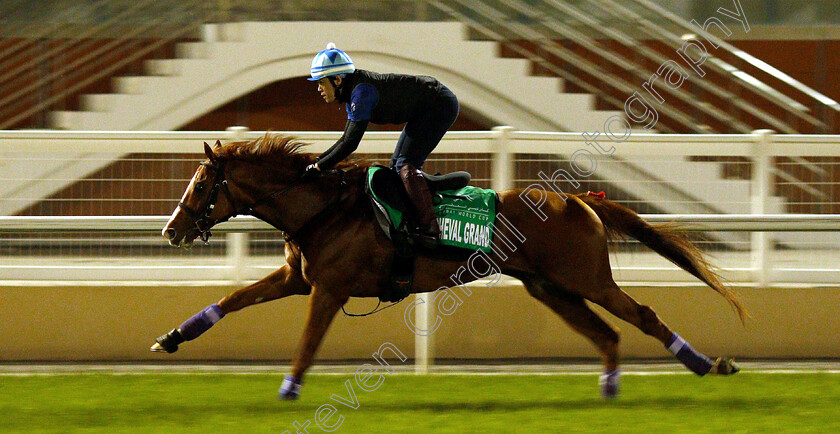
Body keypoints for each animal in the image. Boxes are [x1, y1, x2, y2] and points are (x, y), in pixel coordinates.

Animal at [154, 134, 744, 398]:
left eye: (201, 186)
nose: (171, 230)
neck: (322, 207)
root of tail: (578, 200)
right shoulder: (297, 279)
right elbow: (230, 300)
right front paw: (171, 338)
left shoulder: (329, 289)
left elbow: (308, 340)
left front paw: (289, 388)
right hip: (550, 288)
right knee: (605, 334)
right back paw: (611, 387)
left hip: (587, 278)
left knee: (641, 314)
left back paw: (705, 363)